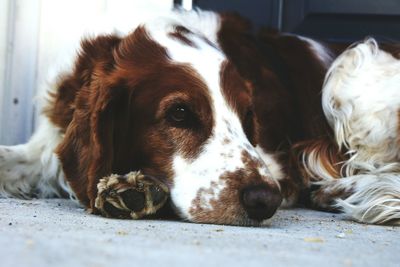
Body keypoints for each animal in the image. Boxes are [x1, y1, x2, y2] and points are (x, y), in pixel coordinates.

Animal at [0, 9, 400, 226]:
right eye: (179, 114)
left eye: (248, 116)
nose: (263, 200)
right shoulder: (50, 142)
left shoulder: (278, 164)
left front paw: (134, 189)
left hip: (350, 64)